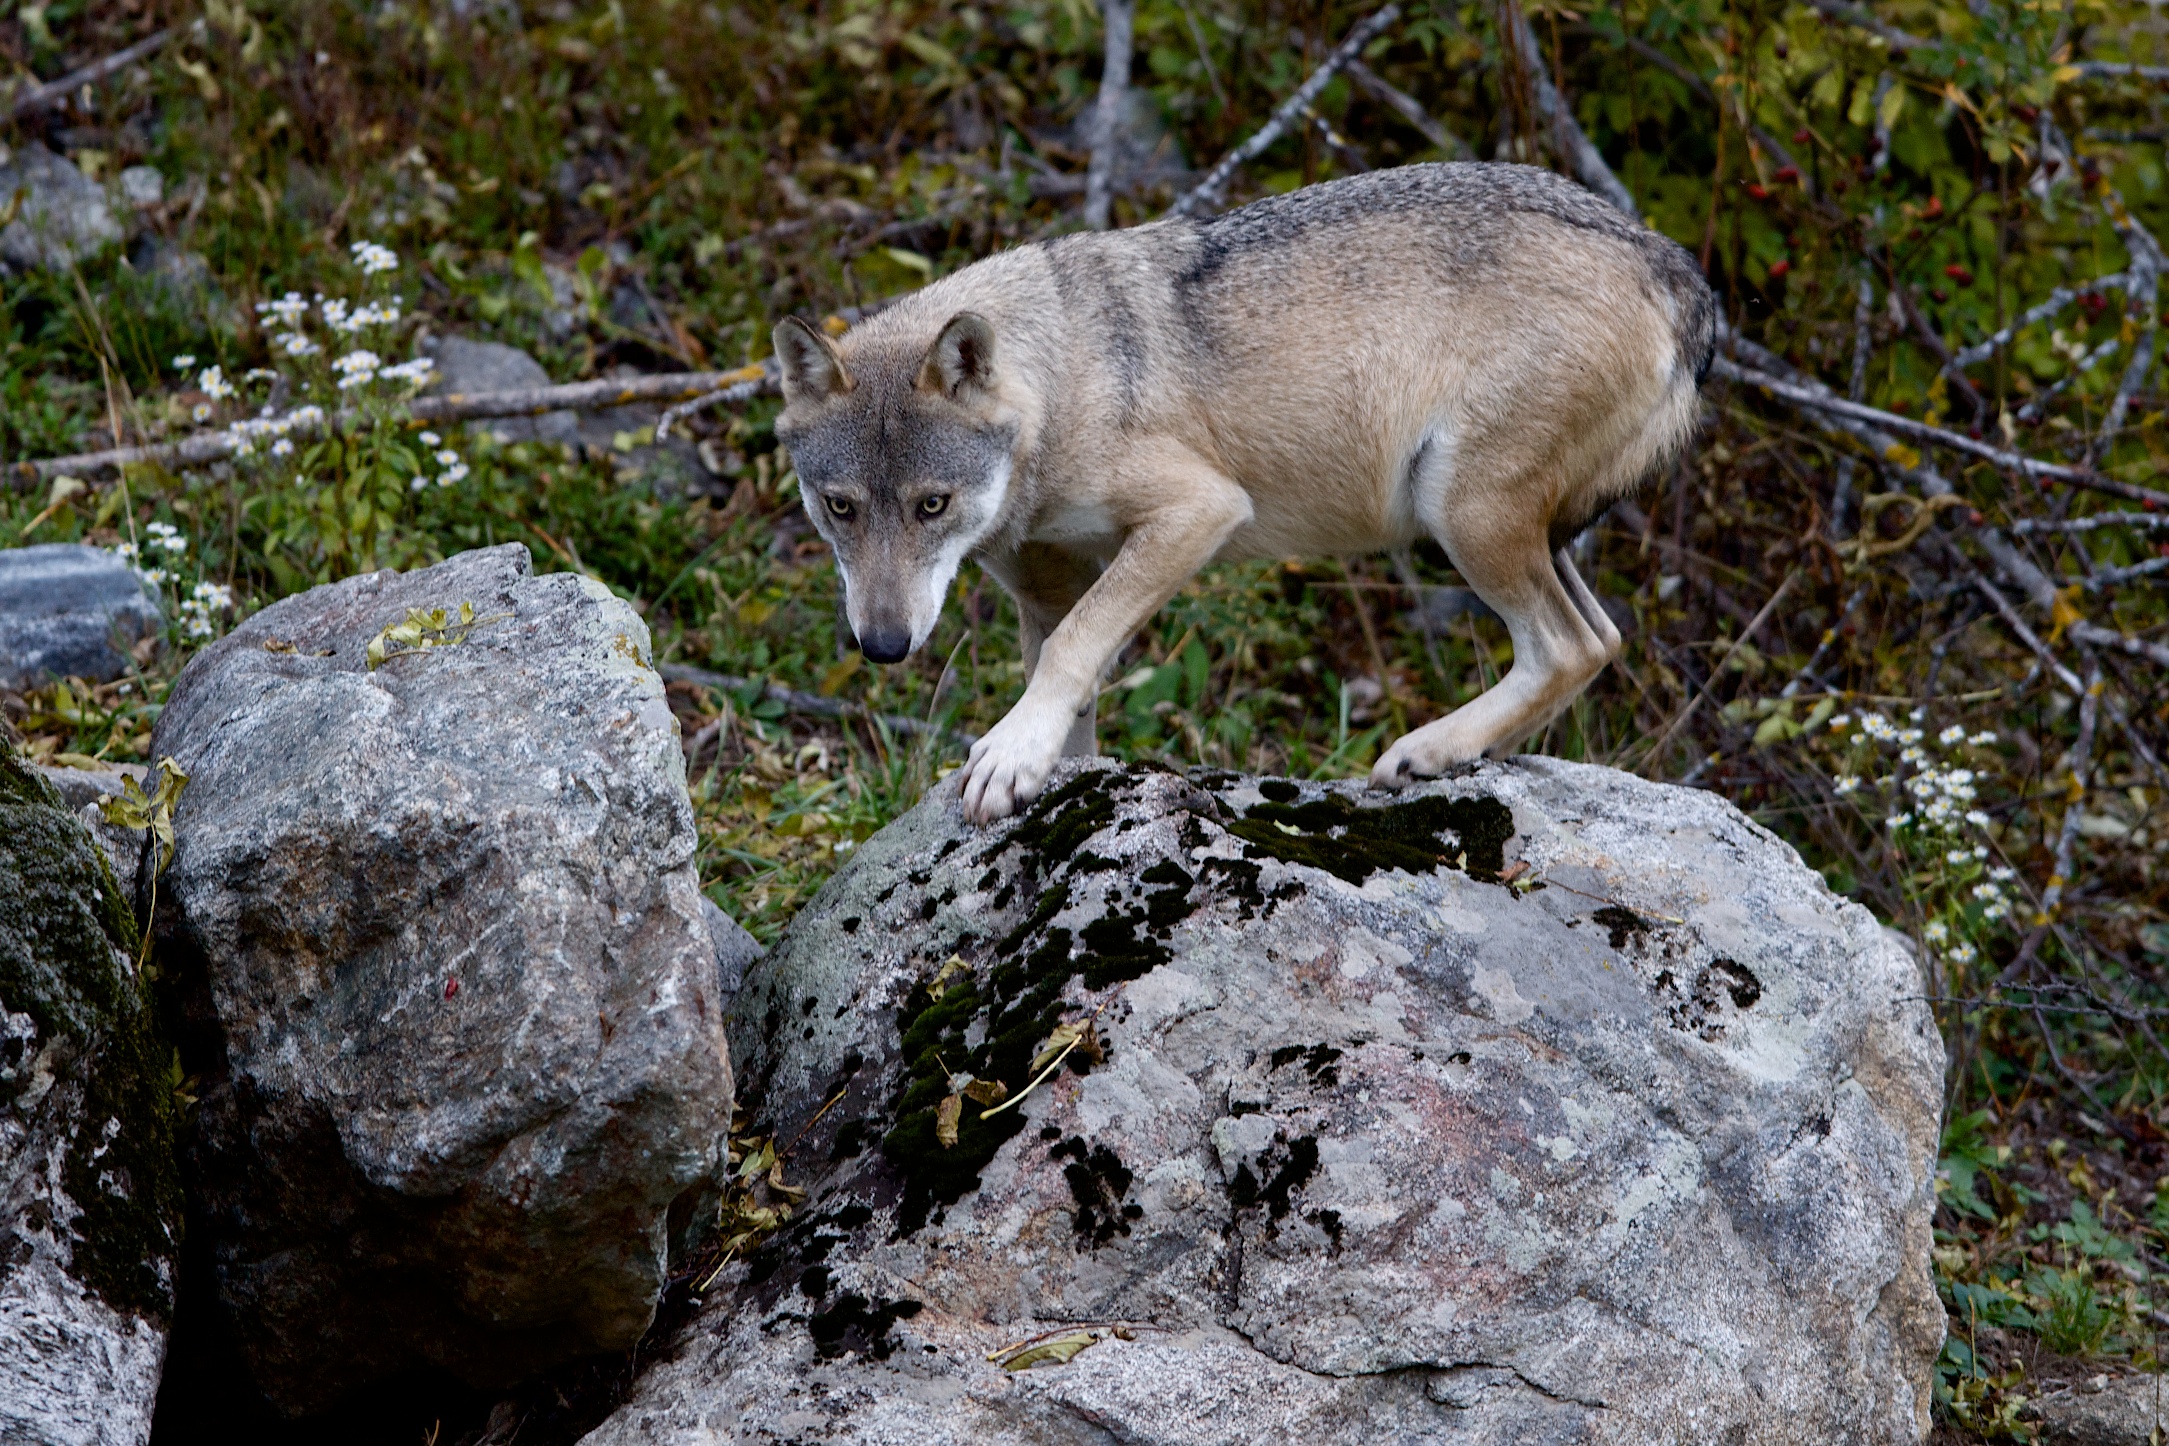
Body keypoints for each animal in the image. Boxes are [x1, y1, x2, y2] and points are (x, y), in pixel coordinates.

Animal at [772, 162, 1715, 823]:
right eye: (840, 508)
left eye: (931, 506)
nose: (883, 647)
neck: (1061, 382)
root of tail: (1671, 261)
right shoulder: (1043, 587)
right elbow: (1068, 693)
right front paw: (1045, 771)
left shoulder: (1199, 512)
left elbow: (1074, 649)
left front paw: (1008, 757)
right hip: (1508, 528)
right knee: (1600, 638)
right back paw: (1442, 758)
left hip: (1460, 512)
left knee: (1569, 647)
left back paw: (1425, 750)